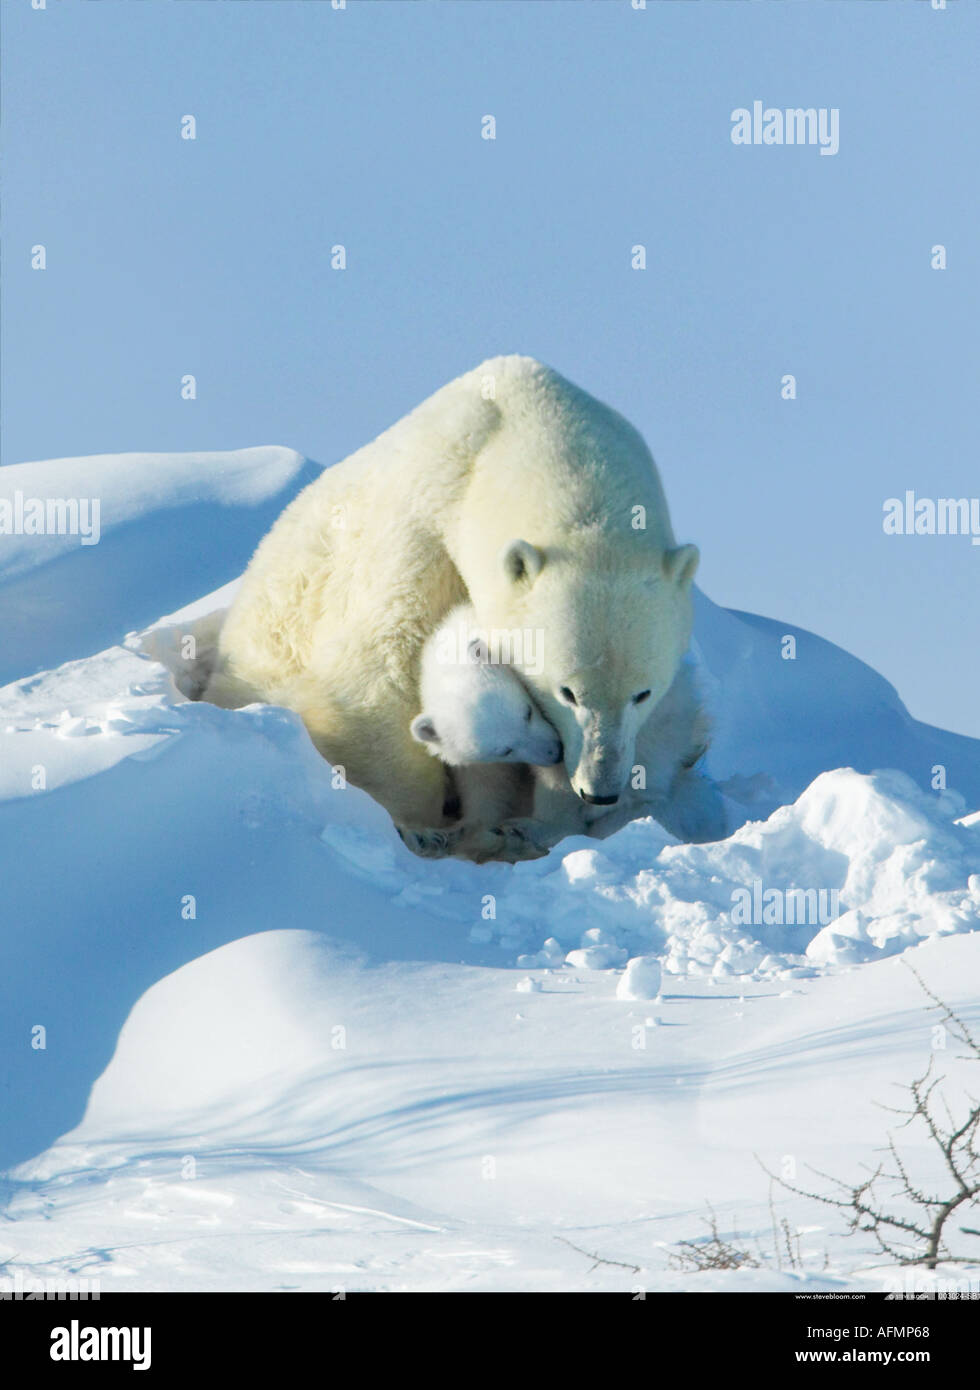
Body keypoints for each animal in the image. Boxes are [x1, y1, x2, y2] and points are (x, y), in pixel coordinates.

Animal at [204, 358, 717, 856]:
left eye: (642, 692)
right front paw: (423, 828)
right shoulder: (420, 535)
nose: (599, 789)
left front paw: (540, 825)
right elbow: (371, 681)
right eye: (567, 692)